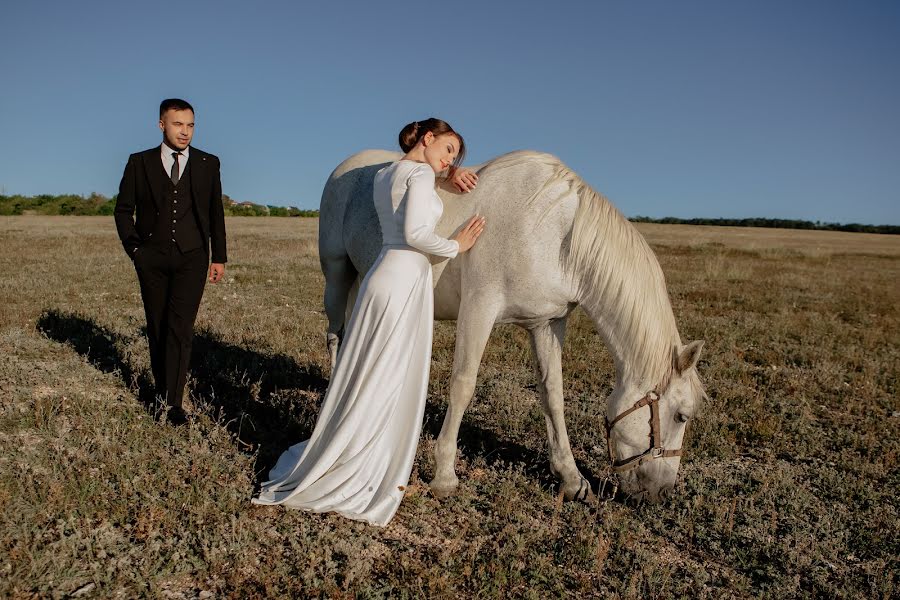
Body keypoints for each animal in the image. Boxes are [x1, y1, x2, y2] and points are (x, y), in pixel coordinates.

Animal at [320, 150, 708, 502]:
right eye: (681, 416)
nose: (662, 494)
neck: (556, 236)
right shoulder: (479, 308)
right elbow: (463, 385)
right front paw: (444, 475)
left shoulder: (547, 324)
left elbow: (553, 395)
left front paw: (572, 478)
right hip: (338, 276)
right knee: (336, 336)